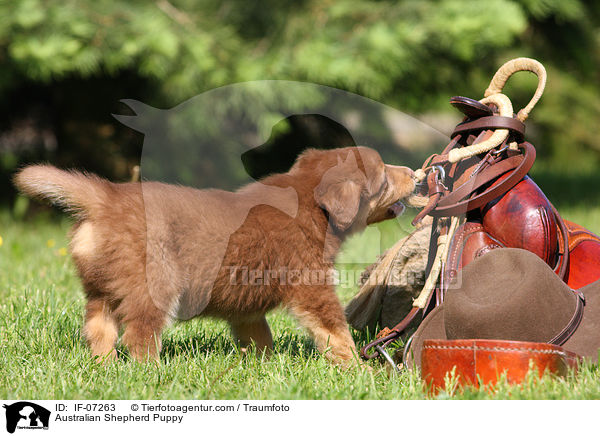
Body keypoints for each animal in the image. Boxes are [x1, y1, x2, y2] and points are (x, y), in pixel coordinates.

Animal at [14, 146, 418, 364]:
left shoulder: (248, 306)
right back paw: (151, 373)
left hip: (103, 287)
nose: (414, 172)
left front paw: (262, 366)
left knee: (99, 329)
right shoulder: (312, 287)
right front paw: (358, 368)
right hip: (154, 285)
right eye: (384, 176)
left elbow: (259, 336)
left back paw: (106, 367)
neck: (311, 205)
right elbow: (336, 333)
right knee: (140, 336)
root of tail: (106, 199)